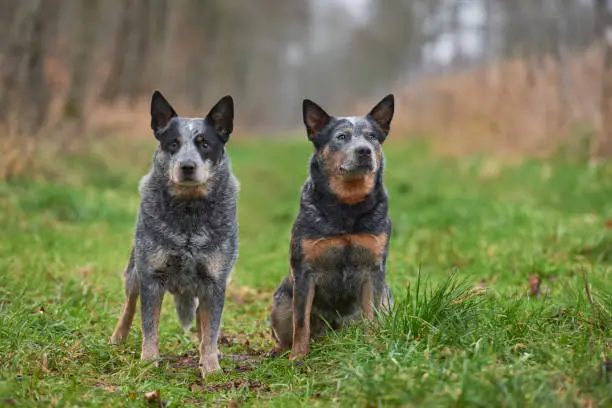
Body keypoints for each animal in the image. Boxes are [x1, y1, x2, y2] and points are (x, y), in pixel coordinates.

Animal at [110, 91, 239, 378]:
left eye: (204, 144)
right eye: (173, 144)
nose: (187, 166)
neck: (189, 212)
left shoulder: (215, 282)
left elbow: (210, 331)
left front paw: (211, 368)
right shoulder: (151, 276)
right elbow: (149, 326)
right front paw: (148, 362)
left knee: (203, 322)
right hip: (135, 270)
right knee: (129, 303)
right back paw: (118, 337)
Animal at [270, 94, 394, 358]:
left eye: (372, 136)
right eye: (341, 137)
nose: (364, 150)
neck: (347, 207)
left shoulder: (374, 270)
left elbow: (372, 316)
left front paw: (373, 347)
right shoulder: (304, 272)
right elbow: (301, 322)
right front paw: (298, 357)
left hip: (387, 297)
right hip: (281, 300)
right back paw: (280, 350)